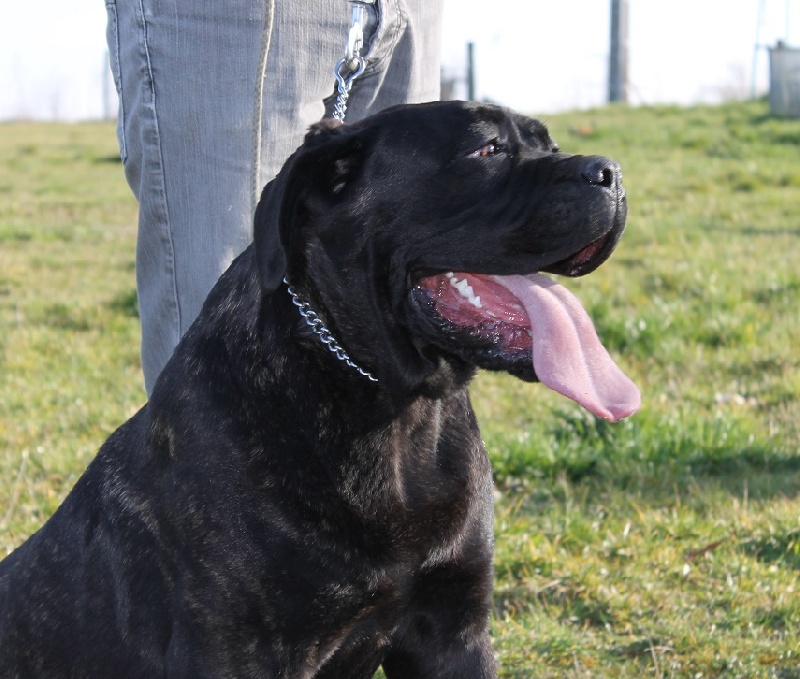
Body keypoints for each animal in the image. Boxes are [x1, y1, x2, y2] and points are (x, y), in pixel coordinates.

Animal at [0, 101, 639, 678]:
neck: (393, 410)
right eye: (486, 151)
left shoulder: (454, 629)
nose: (609, 171)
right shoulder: (239, 653)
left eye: (550, 144)